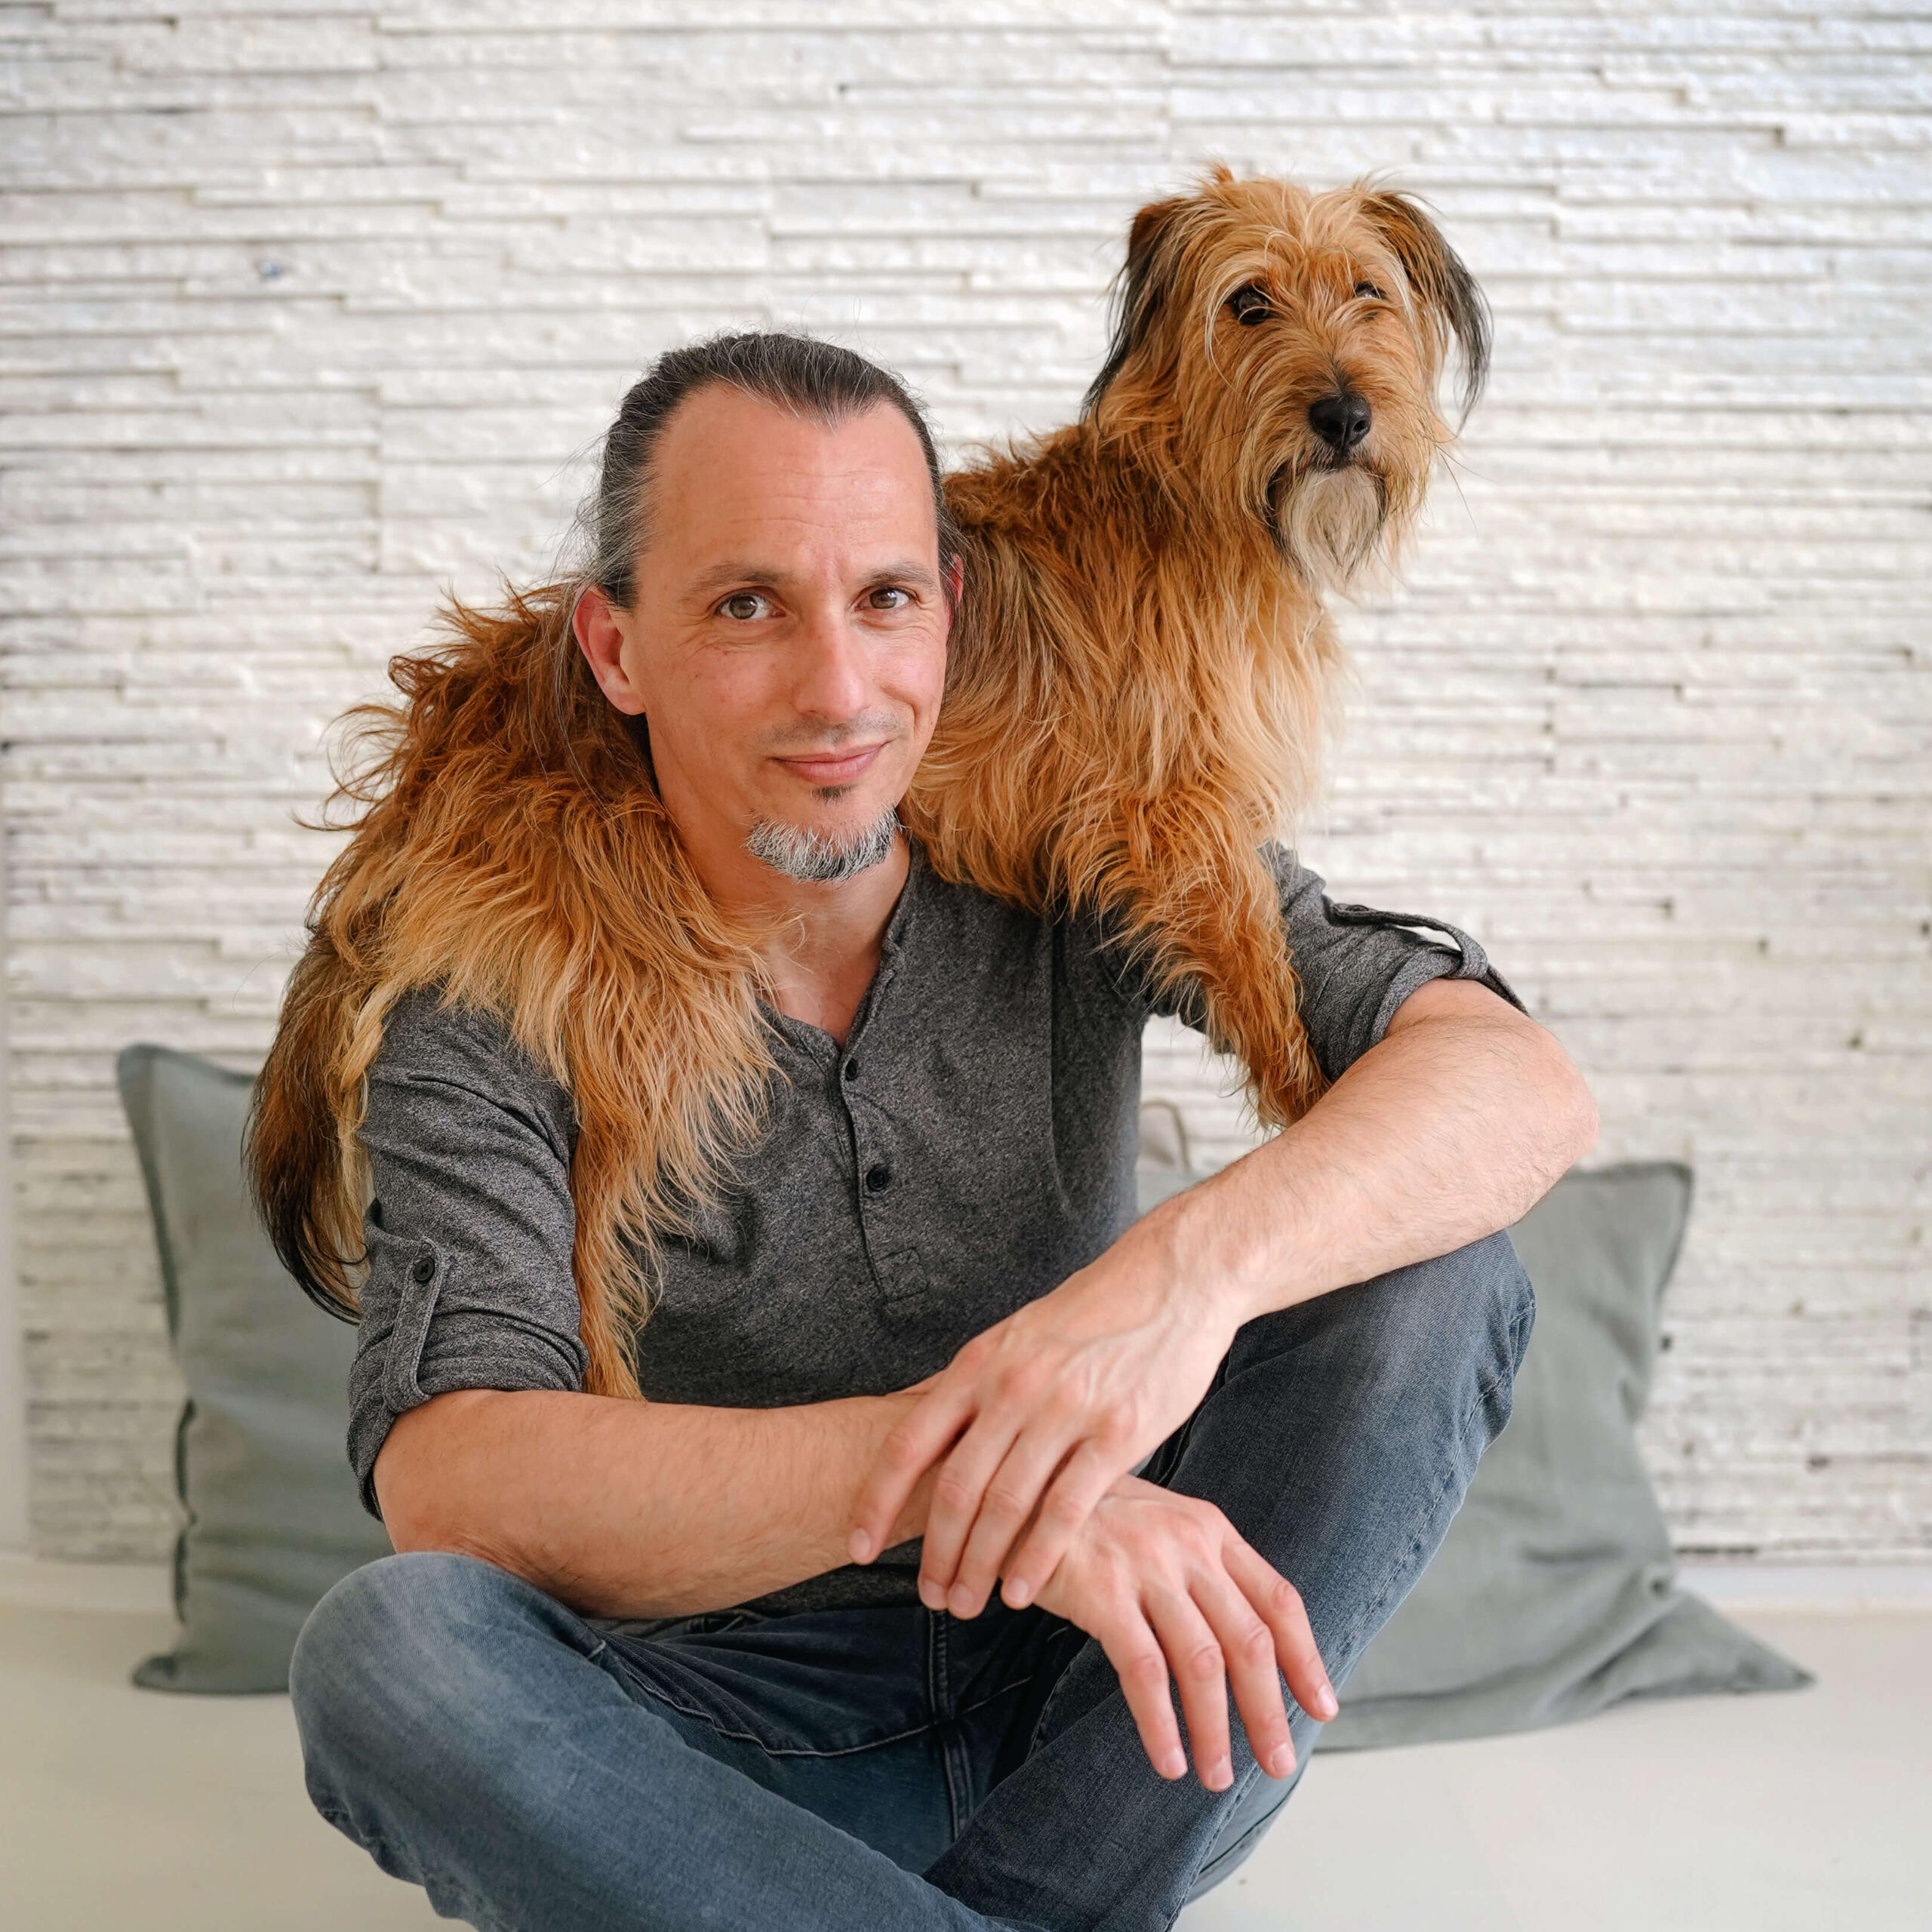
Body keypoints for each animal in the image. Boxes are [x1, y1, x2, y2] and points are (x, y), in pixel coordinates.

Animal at [904, 166, 1489, 1130]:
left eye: (1368, 291)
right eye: (1248, 302)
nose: (1345, 416)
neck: (1196, 506)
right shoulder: (1178, 814)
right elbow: (1256, 965)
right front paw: (1308, 1104)